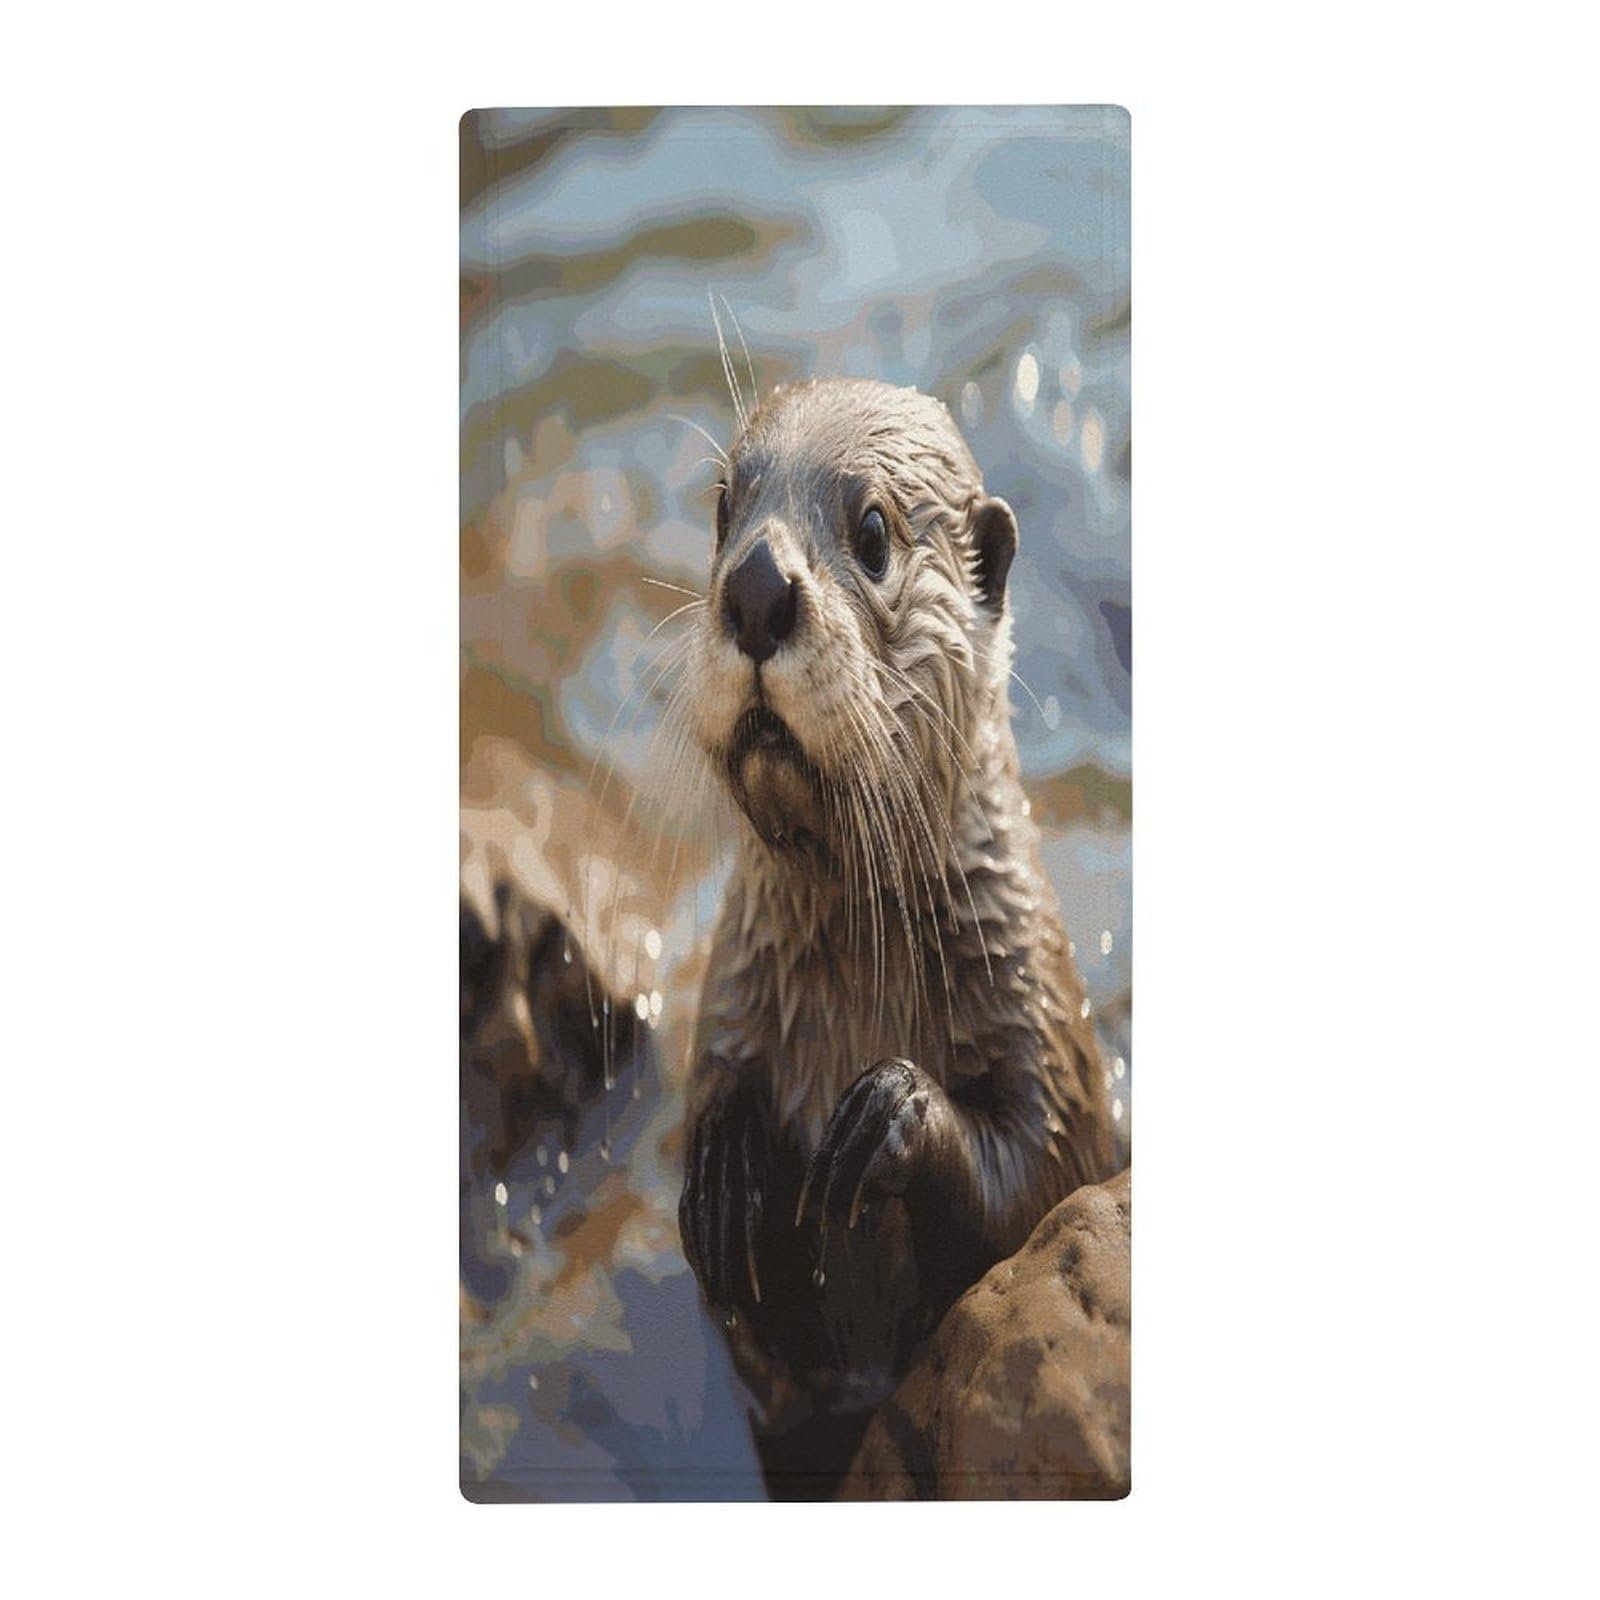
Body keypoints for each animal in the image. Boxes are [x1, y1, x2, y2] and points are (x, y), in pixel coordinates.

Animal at [674, 377, 1119, 1498]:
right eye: (724, 511)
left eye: (871, 529)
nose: (754, 588)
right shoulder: (733, 990)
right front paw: (726, 1170)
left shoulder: (1041, 1011)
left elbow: (1040, 1176)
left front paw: (891, 1113)